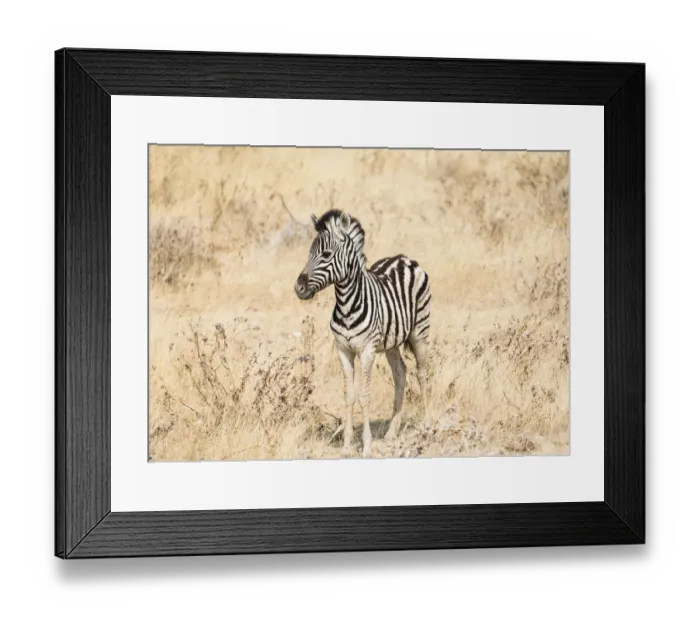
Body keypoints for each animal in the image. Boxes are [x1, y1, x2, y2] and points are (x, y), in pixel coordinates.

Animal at [294, 209, 431, 458]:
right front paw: (347, 446)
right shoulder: (342, 350)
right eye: (309, 253)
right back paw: (391, 432)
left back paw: (427, 424)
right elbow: (349, 395)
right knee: (401, 373)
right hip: (392, 342)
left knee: (422, 373)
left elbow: (364, 396)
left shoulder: (367, 350)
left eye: (326, 254)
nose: (298, 288)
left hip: (420, 332)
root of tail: (404, 259)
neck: (347, 304)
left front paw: (366, 446)